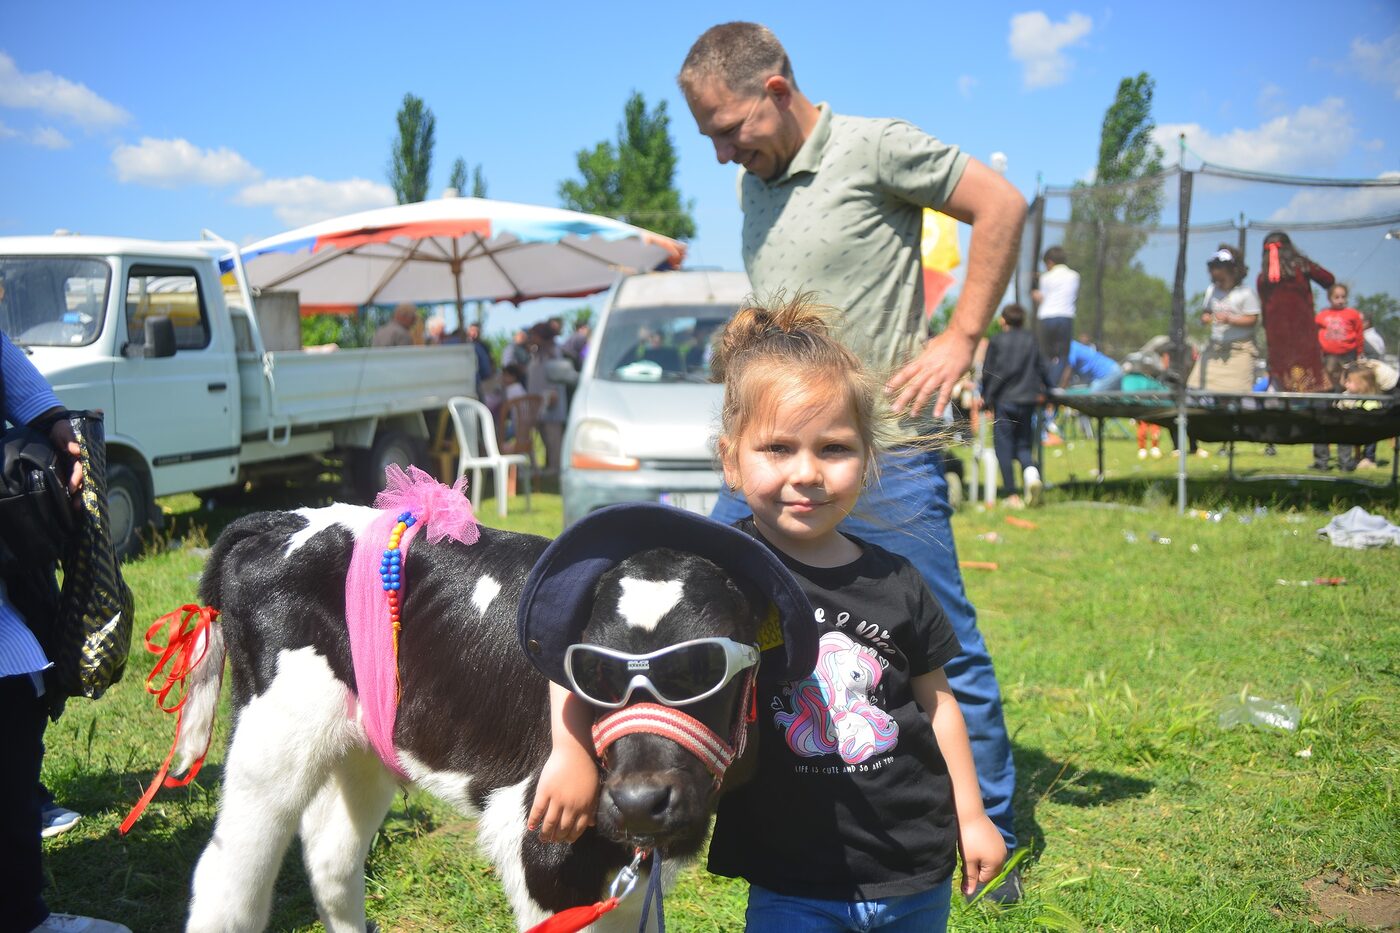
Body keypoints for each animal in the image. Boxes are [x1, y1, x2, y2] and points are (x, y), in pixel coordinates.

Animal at [169, 501, 817, 930]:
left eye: (705, 666)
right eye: (590, 669)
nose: (640, 801)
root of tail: (276, 519)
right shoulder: (541, 851)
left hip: (366, 742)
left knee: (331, 858)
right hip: (273, 735)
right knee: (228, 880)